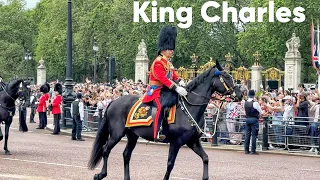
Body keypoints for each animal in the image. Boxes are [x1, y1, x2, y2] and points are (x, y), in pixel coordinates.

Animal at [89, 61, 241, 179]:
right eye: (226, 76)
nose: (240, 94)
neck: (191, 107)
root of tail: (113, 102)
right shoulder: (176, 142)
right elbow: (170, 164)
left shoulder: (192, 142)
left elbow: (206, 158)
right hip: (117, 134)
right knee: (105, 149)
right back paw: (101, 174)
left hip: (132, 135)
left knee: (126, 154)